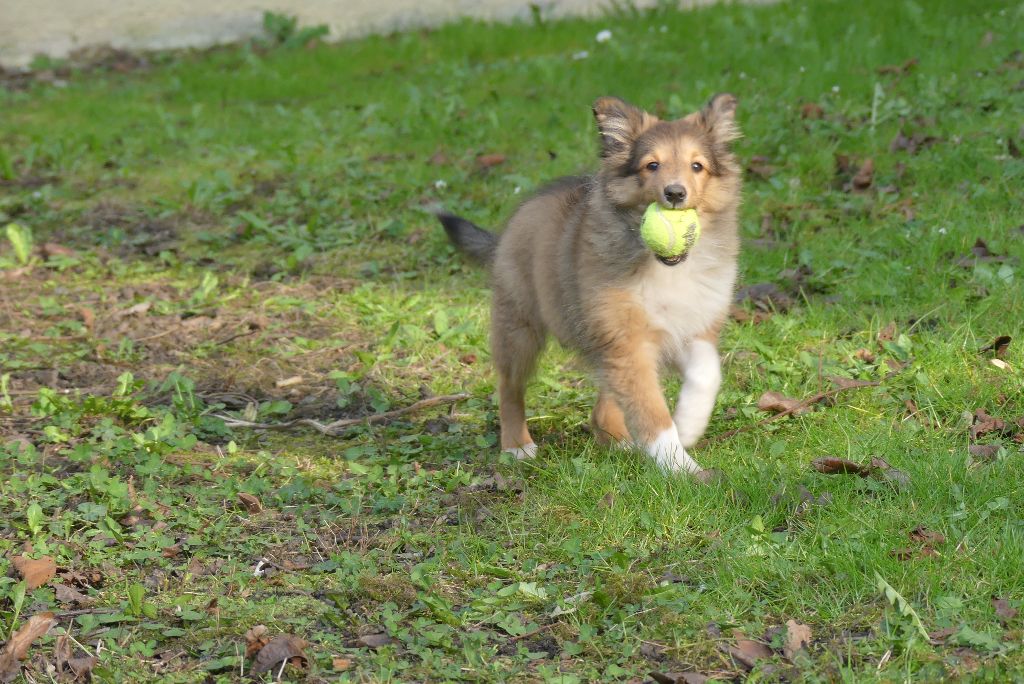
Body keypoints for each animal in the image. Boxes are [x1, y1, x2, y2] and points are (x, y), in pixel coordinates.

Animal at [436, 92, 741, 475]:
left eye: (697, 166)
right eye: (652, 165)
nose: (675, 193)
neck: (667, 268)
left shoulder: (690, 328)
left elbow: (707, 374)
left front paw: (688, 426)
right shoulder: (627, 341)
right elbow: (652, 413)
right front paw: (682, 469)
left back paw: (619, 441)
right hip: (520, 325)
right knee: (509, 386)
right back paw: (517, 445)